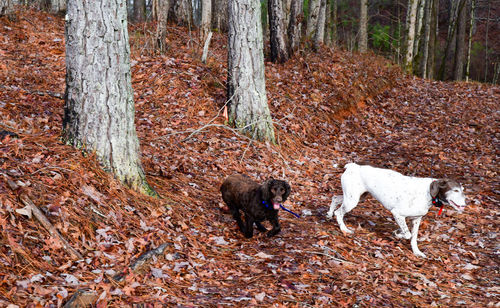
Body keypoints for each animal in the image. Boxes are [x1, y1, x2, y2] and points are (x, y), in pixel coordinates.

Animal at [326, 164, 466, 258]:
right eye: (455, 190)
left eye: (462, 190)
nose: (465, 204)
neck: (428, 193)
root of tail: (353, 166)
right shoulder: (397, 213)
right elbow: (408, 234)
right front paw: (397, 234)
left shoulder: (416, 220)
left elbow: (413, 238)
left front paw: (416, 252)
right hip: (352, 200)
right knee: (339, 213)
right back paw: (344, 229)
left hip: (357, 198)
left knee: (335, 198)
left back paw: (328, 214)